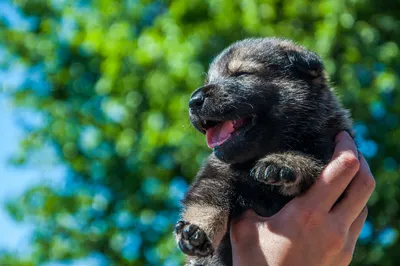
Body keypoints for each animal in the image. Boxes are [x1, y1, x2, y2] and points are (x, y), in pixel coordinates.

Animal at [175, 38, 354, 266]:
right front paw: (196, 230)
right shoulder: (216, 175)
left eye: (241, 74)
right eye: (209, 80)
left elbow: (308, 159)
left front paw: (281, 163)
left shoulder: (326, 148)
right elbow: (206, 202)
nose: (193, 100)